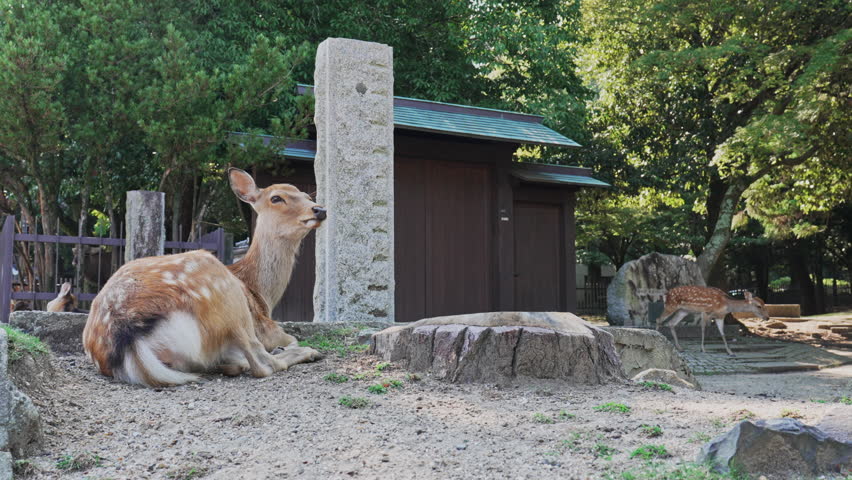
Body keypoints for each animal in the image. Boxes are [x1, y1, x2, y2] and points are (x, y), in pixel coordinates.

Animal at [82, 168, 327, 387]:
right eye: (276, 198)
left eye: (307, 196)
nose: (319, 209)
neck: (261, 294)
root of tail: (125, 333)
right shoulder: (267, 327)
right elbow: (291, 339)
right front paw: (288, 347)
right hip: (228, 298)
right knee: (262, 364)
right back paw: (306, 352)